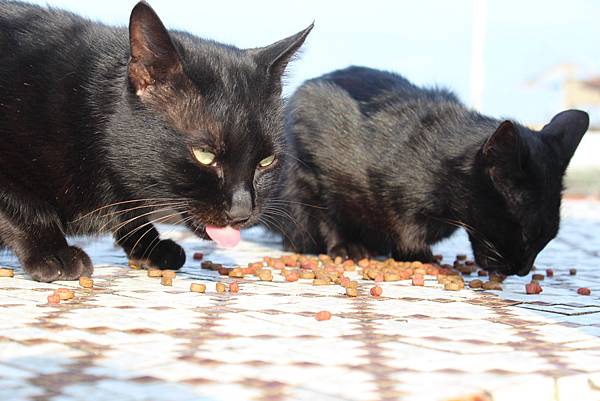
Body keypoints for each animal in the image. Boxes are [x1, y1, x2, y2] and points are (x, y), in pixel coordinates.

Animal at [0, 0, 312, 282]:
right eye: (204, 155)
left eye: (266, 161)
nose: (242, 210)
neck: (82, 113)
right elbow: (24, 206)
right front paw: (54, 253)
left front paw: (151, 245)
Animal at [278, 67, 588, 276]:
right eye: (526, 234)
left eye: (549, 237)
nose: (522, 271)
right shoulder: (312, 161)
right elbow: (330, 215)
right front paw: (348, 246)